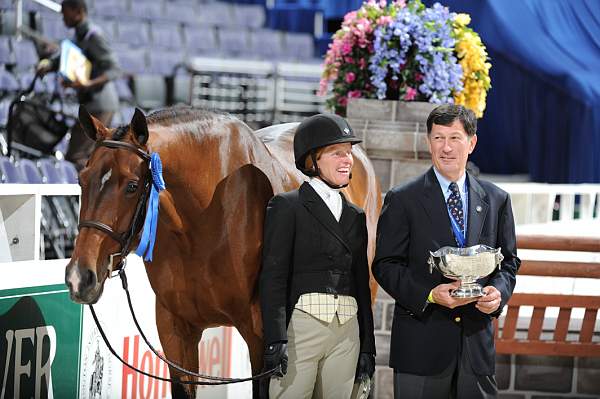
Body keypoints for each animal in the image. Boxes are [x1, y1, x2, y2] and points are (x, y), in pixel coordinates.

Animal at [64, 107, 380, 399]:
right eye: (81, 179)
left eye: (131, 186)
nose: (80, 277)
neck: (203, 217)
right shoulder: (175, 329)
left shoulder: (262, 339)